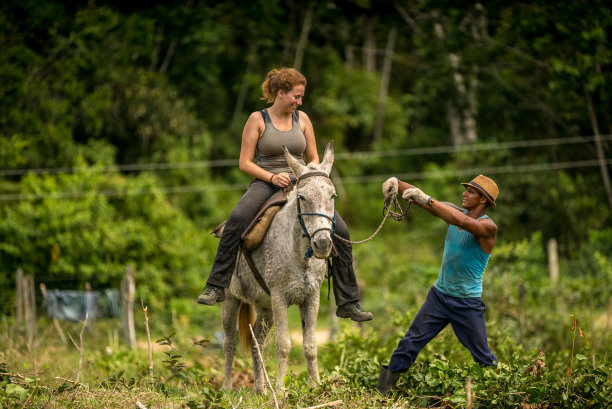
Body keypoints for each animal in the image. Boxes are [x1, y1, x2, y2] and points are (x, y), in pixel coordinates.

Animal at [220, 141, 338, 392]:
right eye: (302, 197)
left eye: (332, 195)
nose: (322, 243)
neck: (300, 256)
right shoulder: (280, 298)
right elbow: (283, 345)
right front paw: (282, 391)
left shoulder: (310, 299)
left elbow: (310, 345)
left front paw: (316, 386)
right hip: (230, 301)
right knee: (229, 343)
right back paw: (226, 388)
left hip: (266, 310)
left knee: (256, 343)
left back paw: (261, 390)